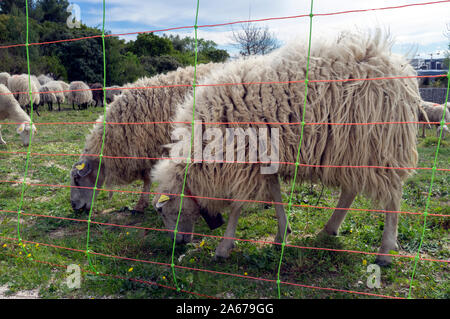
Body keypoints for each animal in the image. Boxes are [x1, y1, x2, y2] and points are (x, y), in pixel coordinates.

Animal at [151, 30, 422, 268]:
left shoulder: (244, 161)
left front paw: (224, 247)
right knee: (351, 189)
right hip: (352, 149)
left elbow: (238, 205)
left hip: (380, 145)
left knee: (393, 197)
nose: (177, 243)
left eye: (163, 212)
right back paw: (330, 228)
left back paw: (385, 251)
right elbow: (276, 195)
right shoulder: (264, 160)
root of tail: (399, 68)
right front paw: (282, 234)